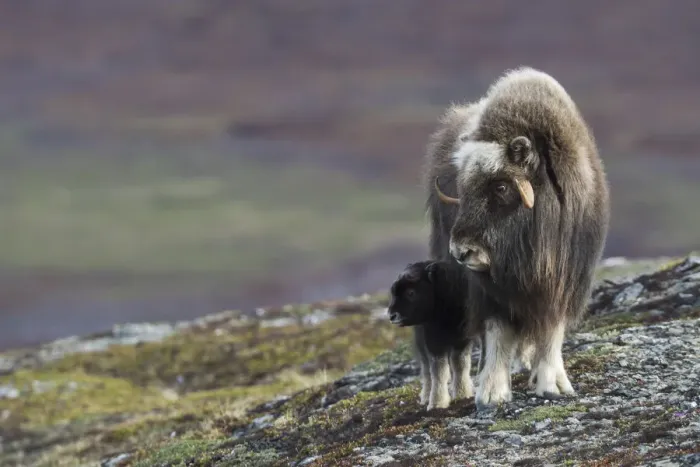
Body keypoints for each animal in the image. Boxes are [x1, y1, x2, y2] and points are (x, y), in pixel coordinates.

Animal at [422, 66, 611, 410]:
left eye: (500, 187)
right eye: (462, 187)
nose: (461, 252)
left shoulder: (561, 280)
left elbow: (551, 331)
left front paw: (551, 385)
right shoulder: (491, 291)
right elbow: (498, 332)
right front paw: (492, 393)